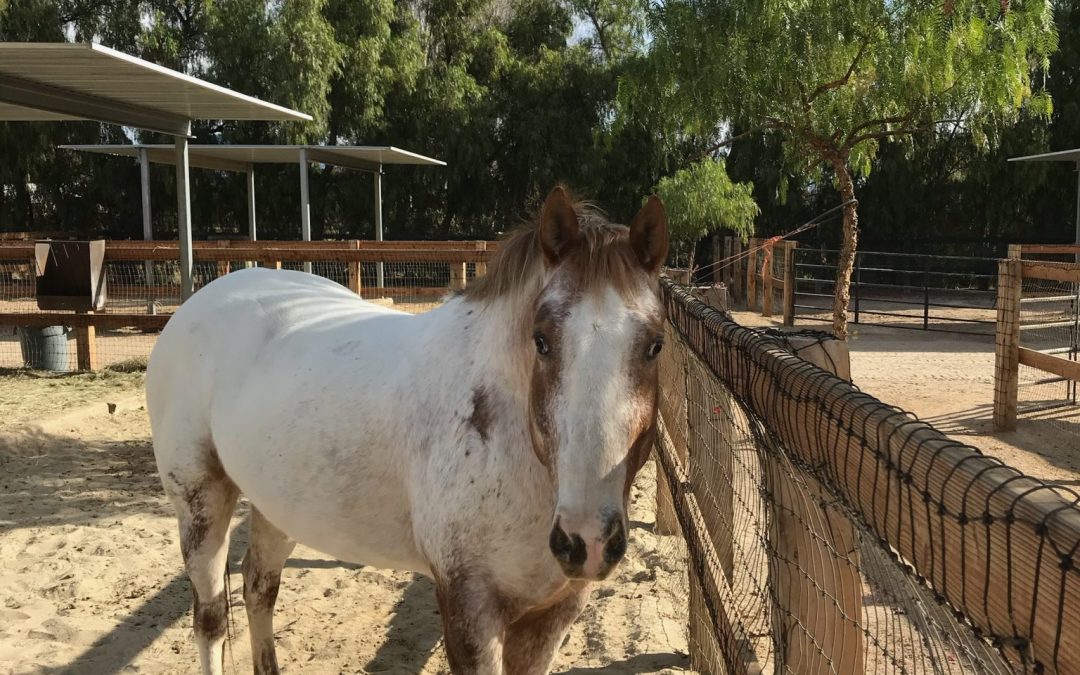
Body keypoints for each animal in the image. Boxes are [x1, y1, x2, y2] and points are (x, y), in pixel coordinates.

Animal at [143, 185, 665, 673]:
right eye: (541, 340)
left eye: (655, 345)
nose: (586, 540)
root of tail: (200, 301)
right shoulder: (468, 610)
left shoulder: (554, 613)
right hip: (201, 506)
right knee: (211, 618)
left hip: (277, 506)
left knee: (258, 585)